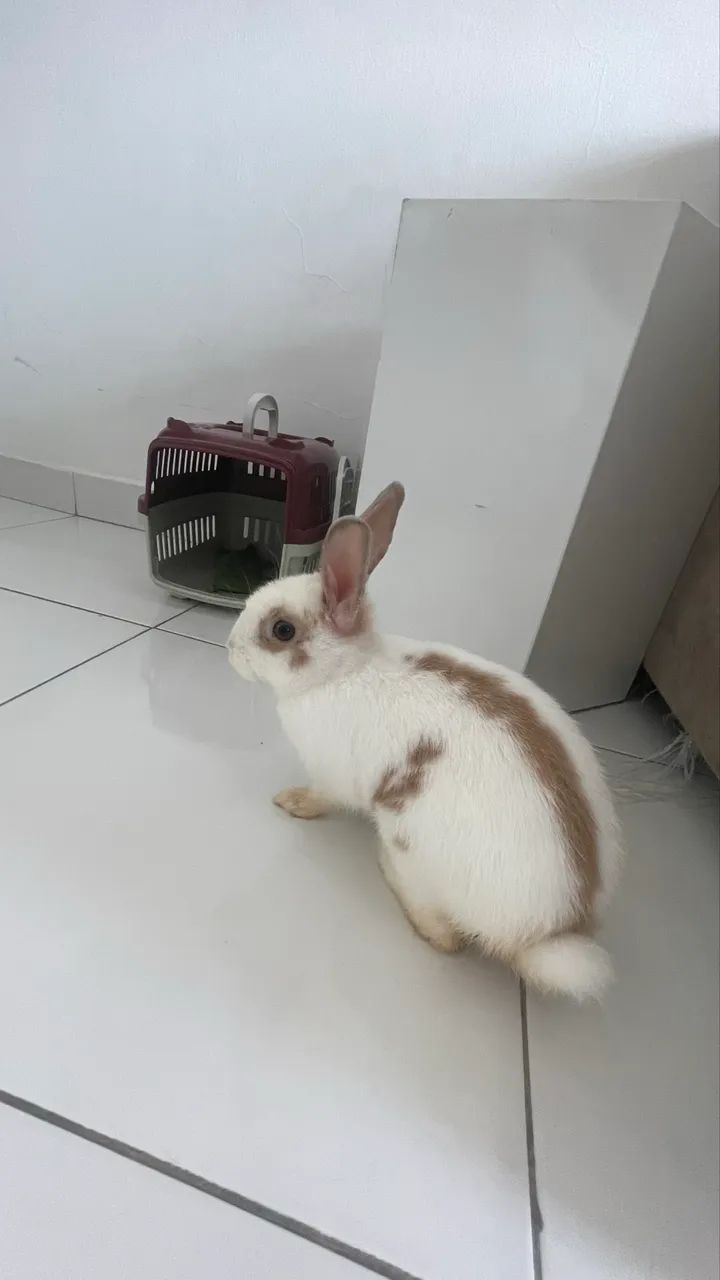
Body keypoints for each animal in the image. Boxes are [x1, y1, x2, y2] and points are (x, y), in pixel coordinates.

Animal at [227, 482, 623, 1000]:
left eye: (282, 630)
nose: (229, 647)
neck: (347, 670)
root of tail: (554, 930)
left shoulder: (333, 775)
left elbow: (321, 796)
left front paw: (292, 801)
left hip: (409, 842)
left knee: (446, 936)